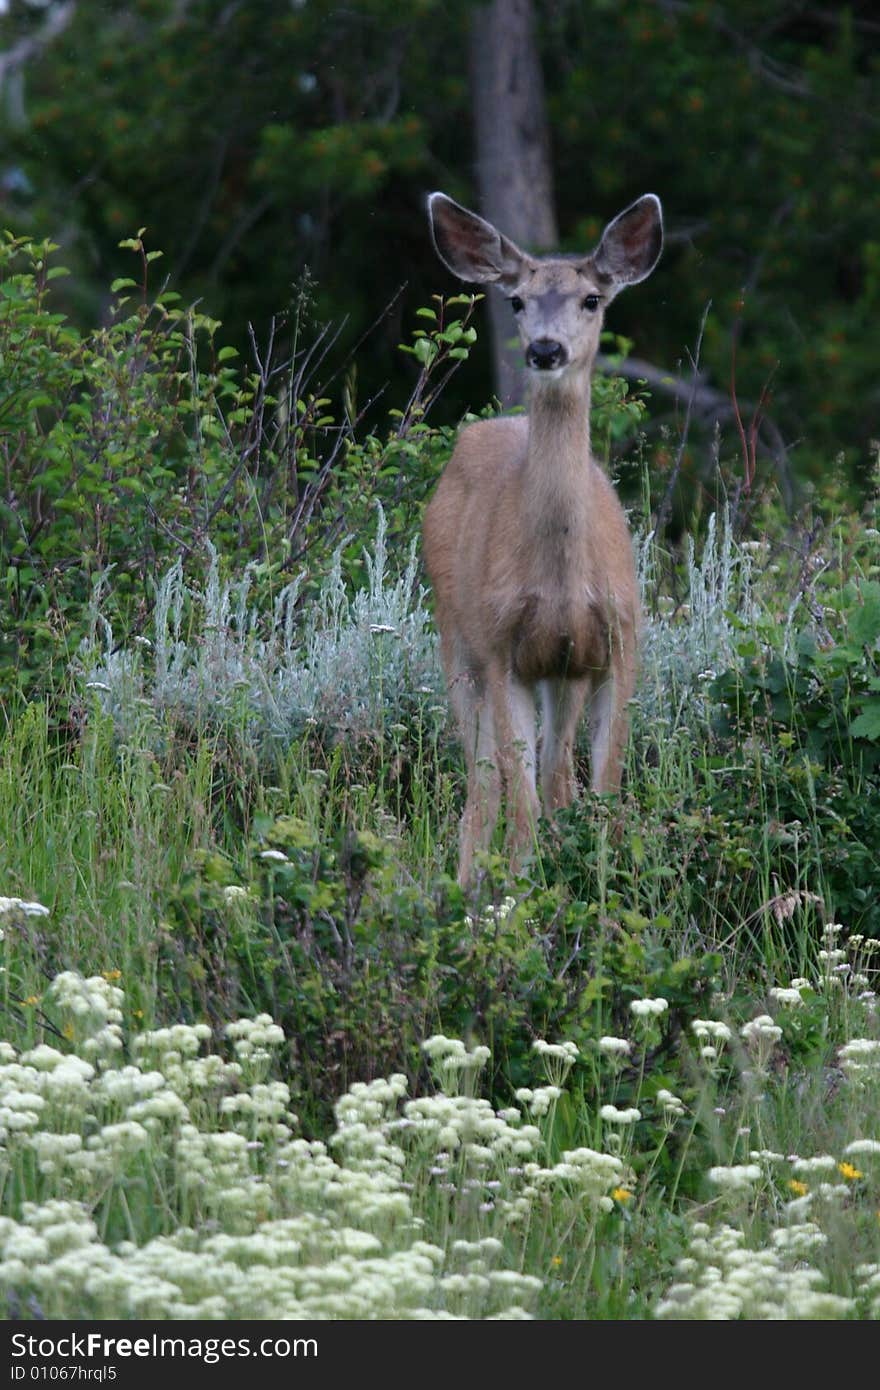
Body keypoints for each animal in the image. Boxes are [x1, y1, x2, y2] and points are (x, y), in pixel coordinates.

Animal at [419, 190, 658, 884]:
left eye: (592, 299)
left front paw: (608, 885)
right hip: (457, 641)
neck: (560, 582)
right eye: (518, 301)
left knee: (552, 781)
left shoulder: (610, 645)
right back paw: (468, 884)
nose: (546, 350)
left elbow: (598, 787)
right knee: (484, 789)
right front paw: (521, 893)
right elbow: (519, 799)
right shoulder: (503, 648)